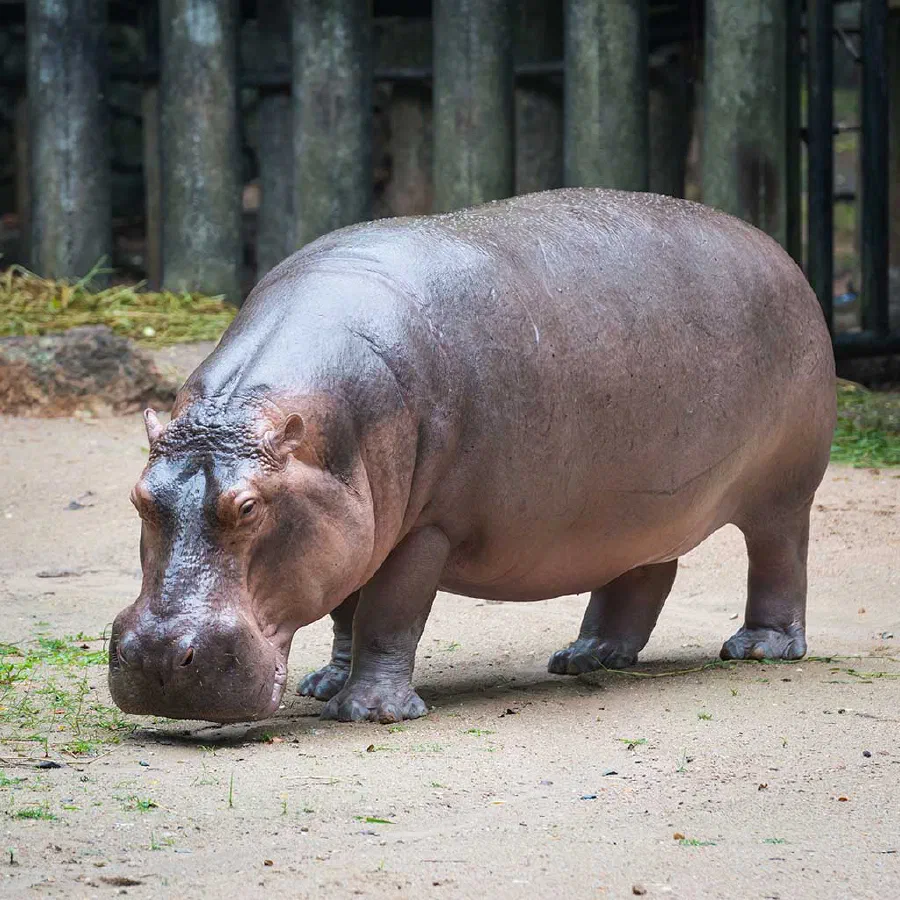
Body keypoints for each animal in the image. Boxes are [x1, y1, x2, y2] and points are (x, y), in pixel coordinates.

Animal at [108, 188, 836, 724]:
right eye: (139, 498)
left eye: (250, 507)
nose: (158, 656)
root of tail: (778, 249)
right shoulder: (351, 522)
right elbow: (346, 608)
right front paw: (326, 685)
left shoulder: (423, 529)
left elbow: (388, 613)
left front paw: (371, 712)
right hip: (640, 503)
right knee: (641, 573)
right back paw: (587, 656)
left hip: (783, 489)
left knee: (779, 559)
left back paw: (759, 648)